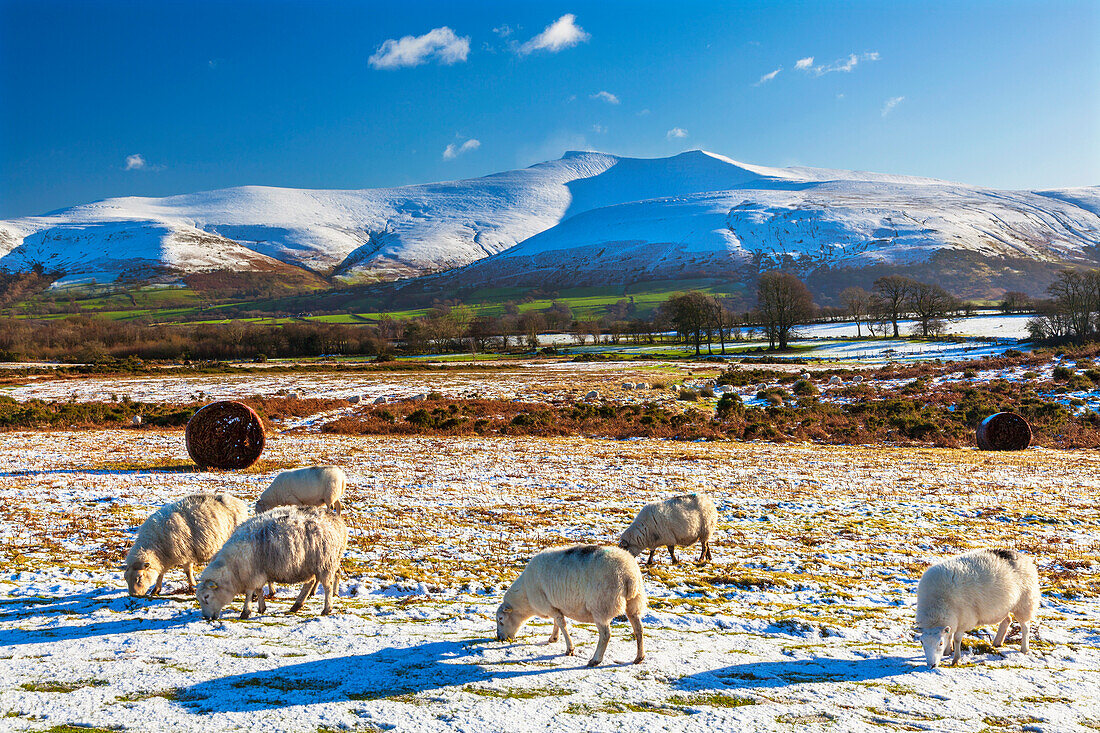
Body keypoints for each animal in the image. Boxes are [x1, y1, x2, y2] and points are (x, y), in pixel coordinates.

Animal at [195, 501, 345, 616]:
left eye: (207, 596)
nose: (206, 618)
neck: (232, 569)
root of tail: (337, 521)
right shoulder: (258, 573)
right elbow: (259, 590)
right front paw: (261, 608)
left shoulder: (252, 574)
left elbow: (250, 592)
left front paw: (246, 612)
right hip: (309, 565)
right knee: (310, 582)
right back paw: (296, 605)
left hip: (325, 563)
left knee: (327, 586)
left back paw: (326, 609)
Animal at [497, 541, 646, 669]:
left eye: (501, 619)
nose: (500, 638)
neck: (526, 597)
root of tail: (628, 575)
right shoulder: (555, 605)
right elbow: (556, 623)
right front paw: (553, 638)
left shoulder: (548, 605)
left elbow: (561, 624)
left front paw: (569, 649)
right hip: (634, 603)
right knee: (638, 629)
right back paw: (639, 657)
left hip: (601, 606)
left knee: (605, 635)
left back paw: (595, 660)